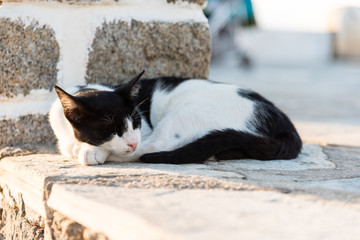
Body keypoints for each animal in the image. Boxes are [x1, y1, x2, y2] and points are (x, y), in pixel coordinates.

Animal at [48, 70, 300, 166]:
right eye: (110, 128)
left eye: (137, 122)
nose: (132, 141)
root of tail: (283, 120)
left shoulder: (144, 133)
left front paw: (91, 150)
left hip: (187, 112)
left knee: (153, 149)